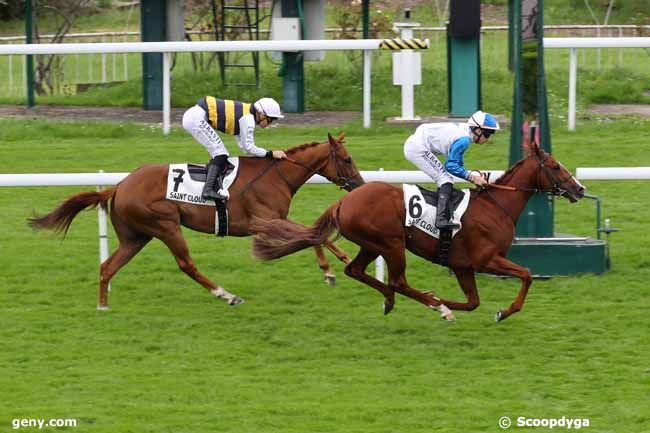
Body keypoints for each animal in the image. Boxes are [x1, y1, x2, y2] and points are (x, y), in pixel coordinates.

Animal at [27, 132, 362, 308]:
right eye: (347, 159)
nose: (358, 185)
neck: (276, 175)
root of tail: (120, 185)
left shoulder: (277, 218)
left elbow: (311, 233)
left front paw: (337, 264)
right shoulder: (262, 221)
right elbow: (312, 234)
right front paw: (333, 269)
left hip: (136, 236)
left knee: (107, 266)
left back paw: (103, 305)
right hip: (165, 225)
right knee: (186, 264)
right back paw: (226, 294)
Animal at [248, 135, 584, 320]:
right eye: (555, 167)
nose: (579, 189)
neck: (496, 207)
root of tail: (345, 200)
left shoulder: (463, 265)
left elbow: (472, 302)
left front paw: (446, 302)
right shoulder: (486, 259)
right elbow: (526, 274)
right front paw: (501, 311)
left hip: (372, 245)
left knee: (357, 271)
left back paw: (394, 300)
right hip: (392, 244)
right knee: (398, 281)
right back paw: (428, 304)